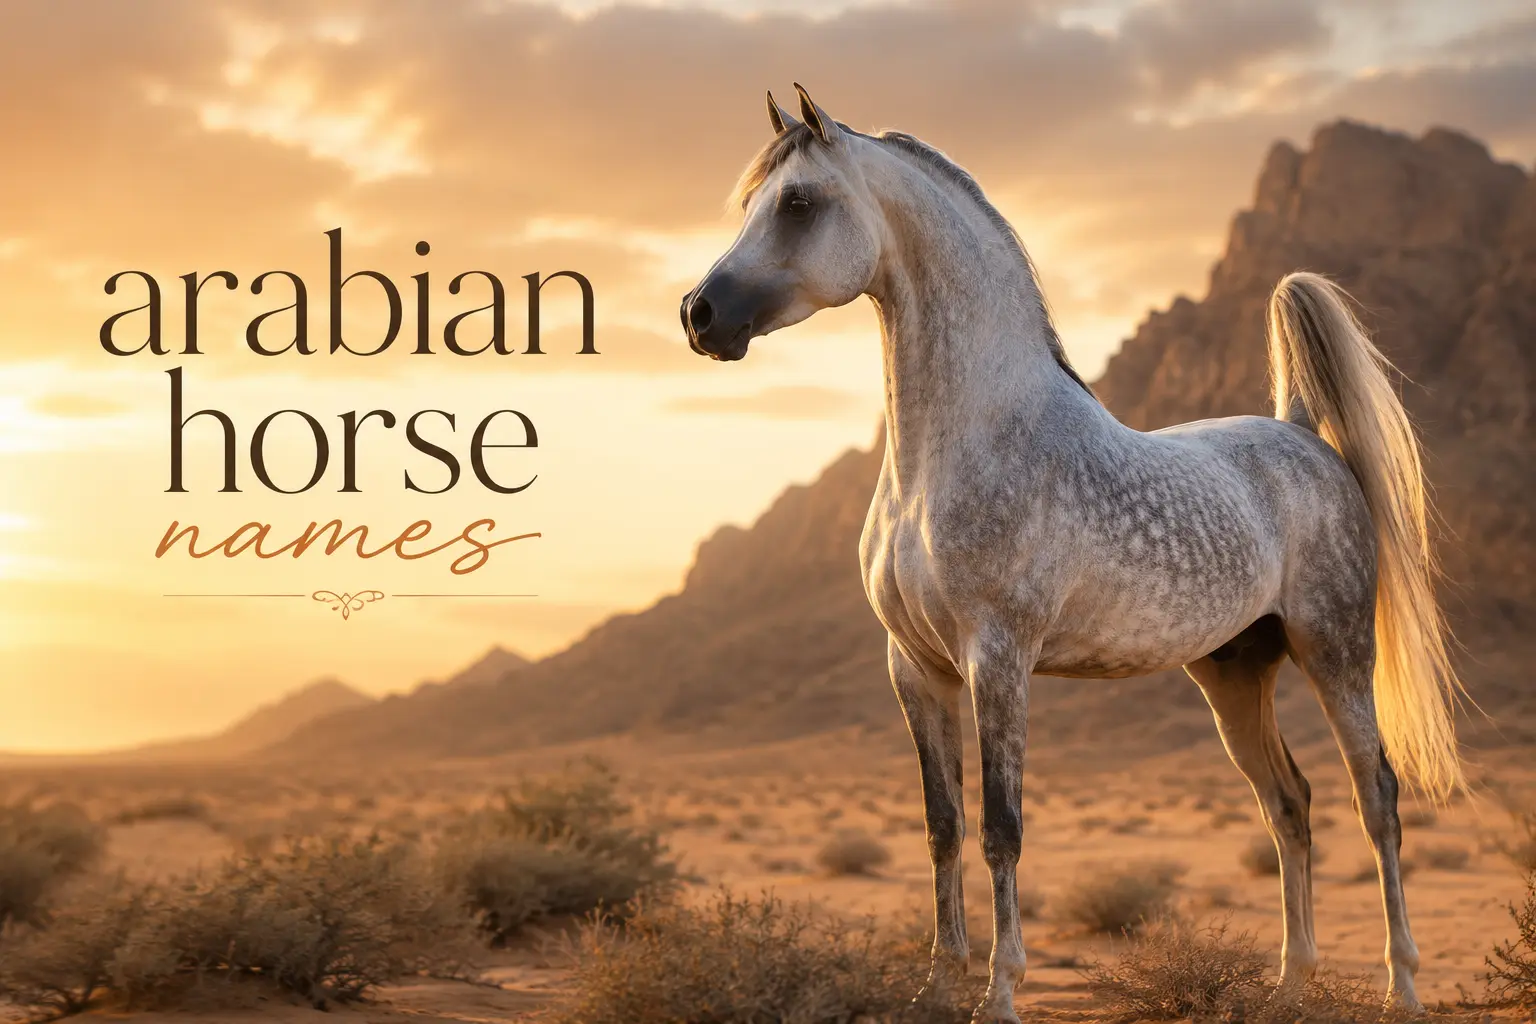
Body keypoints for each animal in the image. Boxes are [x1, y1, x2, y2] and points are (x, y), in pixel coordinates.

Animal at [680, 85, 1462, 1022]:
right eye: (751, 202)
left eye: (797, 202)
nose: (699, 315)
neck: (956, 450)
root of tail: (1303, 435)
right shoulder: (915, 668)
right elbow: (942, 827)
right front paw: (936, 986)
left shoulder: (998, 659)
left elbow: (1000, 828)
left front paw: (999, 993)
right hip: (1235, 673)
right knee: (1290, 804)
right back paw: (1289, 984)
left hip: (1335, 652)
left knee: (1376, 797)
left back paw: (1403, 986)